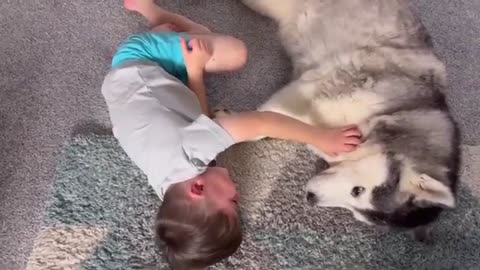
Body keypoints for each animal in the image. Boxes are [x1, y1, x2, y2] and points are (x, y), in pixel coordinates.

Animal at [244, 0, 462, 239]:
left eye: (357, 211)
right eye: (358, 191)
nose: (310, 198)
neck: (402, 111)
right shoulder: (320, 88)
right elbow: (266, 120)